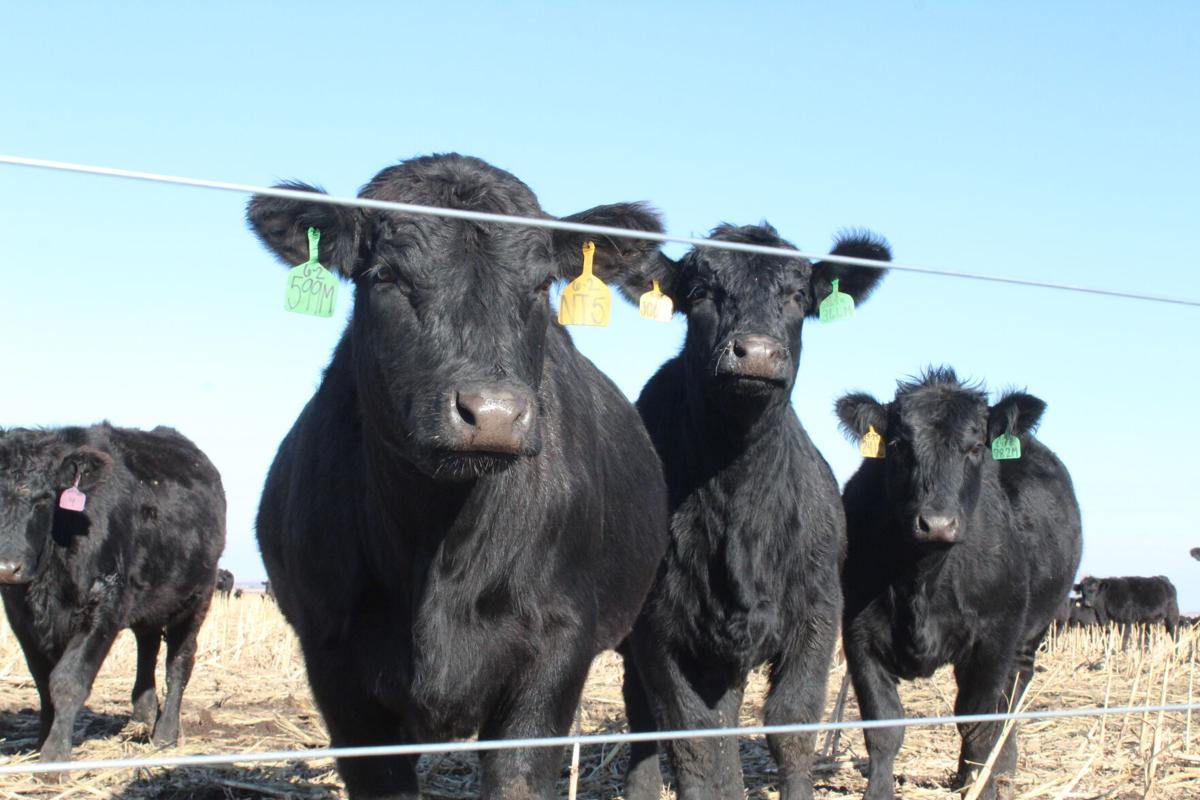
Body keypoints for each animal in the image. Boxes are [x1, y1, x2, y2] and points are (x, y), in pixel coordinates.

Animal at [0, 424, 225, 763]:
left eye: (45, 498)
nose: (7, 567)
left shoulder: (104, 605)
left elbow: (67, 680)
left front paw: (55, 754)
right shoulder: (21, 616)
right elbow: (41, 679)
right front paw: (40, 743)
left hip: (196, 598)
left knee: (179, 663)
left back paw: (165, 734)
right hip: (151, 601)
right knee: (147, 647)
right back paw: (142, 717)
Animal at [608, 223, 890, 800]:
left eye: (798, 296)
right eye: (700, 294)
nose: (756, 353)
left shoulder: (819, 612)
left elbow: (791, 727)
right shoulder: (656, 630)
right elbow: (691, 741)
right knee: (647, 716)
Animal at [837, 369, 1082, 800]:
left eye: (975, 447)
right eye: (899, 445)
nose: (937, 523)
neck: (922, 577)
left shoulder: (993, 640)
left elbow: (977, 723)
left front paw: (979, 787)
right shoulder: (859, 635)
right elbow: (883, 727)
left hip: (1028, 636)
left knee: (1011, 697)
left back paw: (1001, 770)